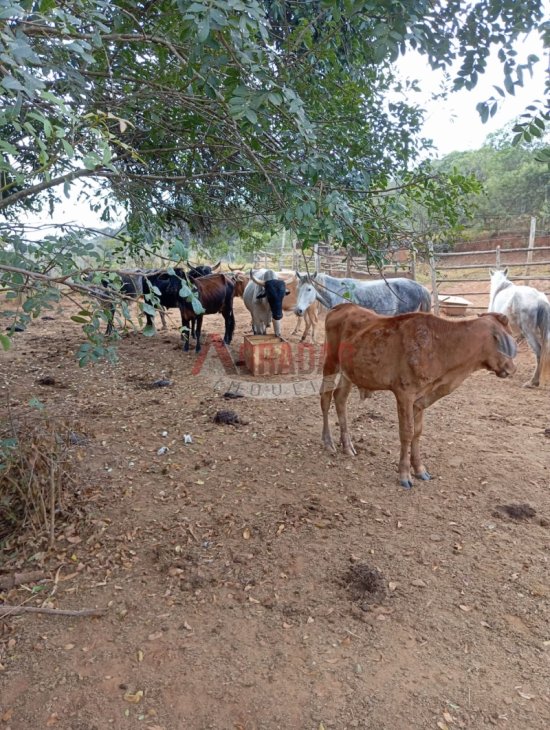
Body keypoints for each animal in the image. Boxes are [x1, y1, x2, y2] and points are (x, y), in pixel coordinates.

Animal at [322, 302, 520, 490]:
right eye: (504, 340)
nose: (512, 369)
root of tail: (342, 306)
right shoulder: (404, 393)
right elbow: (407, 432)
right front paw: (404, 475)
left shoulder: (421, 398)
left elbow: (417, 432)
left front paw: (419, 469)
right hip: (330, 361)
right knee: (325, 398)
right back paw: (328, 442)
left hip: (349, 372)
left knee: (340, 398)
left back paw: (347, 446)